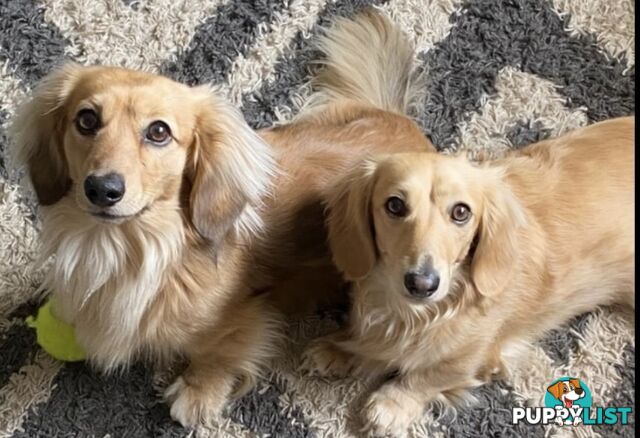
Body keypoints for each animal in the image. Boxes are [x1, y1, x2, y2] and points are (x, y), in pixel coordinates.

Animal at [10, 11, 432, 428]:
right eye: (86, 119)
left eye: (158, 131)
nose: (102, 189)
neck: (137, 246)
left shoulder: (246, 310)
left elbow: (221, 348)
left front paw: (198, 391)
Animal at [304, 116, 636, 434]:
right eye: (395, 205)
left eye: (461, 212)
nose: (422, 284)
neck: (415, 315)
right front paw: (339, 348)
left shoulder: (476, 355)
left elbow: (427, 375)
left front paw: (392, 404)